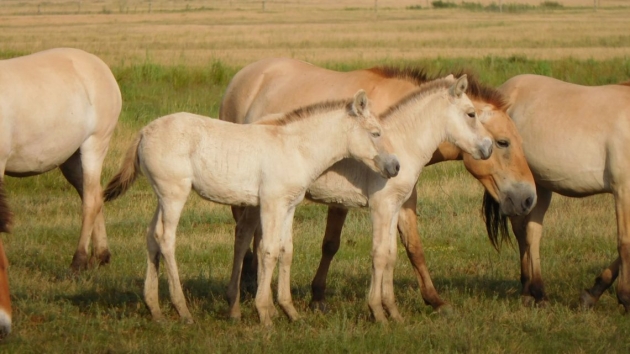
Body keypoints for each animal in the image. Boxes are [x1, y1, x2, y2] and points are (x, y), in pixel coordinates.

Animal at [100, 91, 404, 326]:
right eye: (375, 133)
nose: (395, 167)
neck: (296, 148)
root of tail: (144, 132)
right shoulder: (271, 202)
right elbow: (268, 251)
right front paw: (265, 313)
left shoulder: (289, 205)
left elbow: (285, 252)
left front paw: (290, 312)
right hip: (174, 194)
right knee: (166, 239)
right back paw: (182, 310)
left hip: (161, 196)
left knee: (151, 236)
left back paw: (155, 309)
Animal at [482, 74, 628, 310]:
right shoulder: (623, 189)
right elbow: (624, 243)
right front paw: (624, 297)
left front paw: (592, 294)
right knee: (524, 232)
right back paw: (533, 291)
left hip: (538, 187)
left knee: (530, 232)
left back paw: (533, 292)